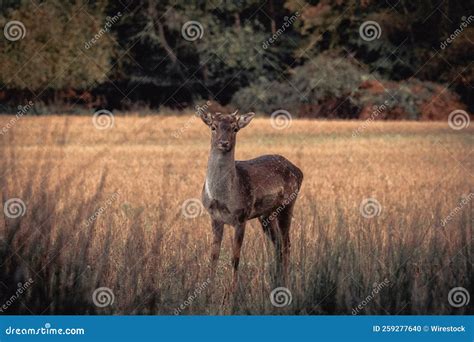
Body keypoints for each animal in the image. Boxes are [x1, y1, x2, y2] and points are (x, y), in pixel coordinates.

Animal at [199, 109, 304, 294]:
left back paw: (285, 282)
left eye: (235, 128)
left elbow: (235, 258)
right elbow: (214, 256)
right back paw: (275, 281)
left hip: (288, 205)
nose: (224, 143)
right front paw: (209, 291)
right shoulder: (215, 217)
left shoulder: (242, 216)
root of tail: (300, 172)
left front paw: (232, 292)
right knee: (277, 245)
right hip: (267, 215)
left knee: (286, 244)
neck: (222, 197)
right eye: (213, 127)